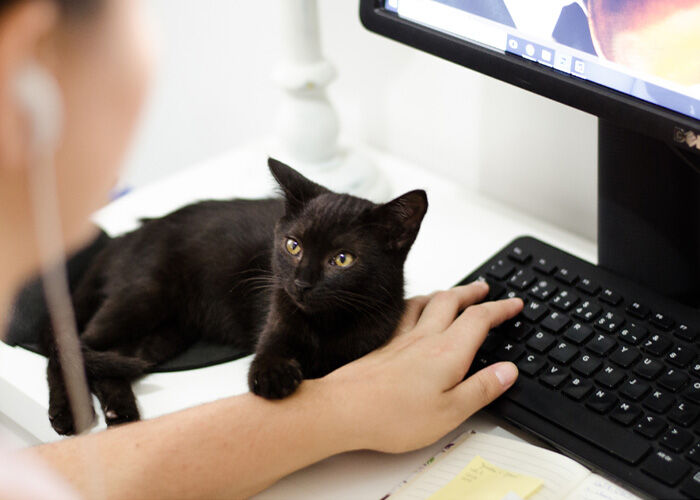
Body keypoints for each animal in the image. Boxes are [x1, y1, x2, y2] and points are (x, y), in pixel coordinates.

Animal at [45, 159, 426, 434]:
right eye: (293, 246)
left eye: (342, 259)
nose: (301, 283)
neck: (327, 324)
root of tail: (126, 236)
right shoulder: (277, 315)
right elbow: (268, 357)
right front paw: (274, 377)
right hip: (144, 294)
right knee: (69, 345)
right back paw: (68, 414)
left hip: (163, 335)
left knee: (108, 360)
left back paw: (120, 411)